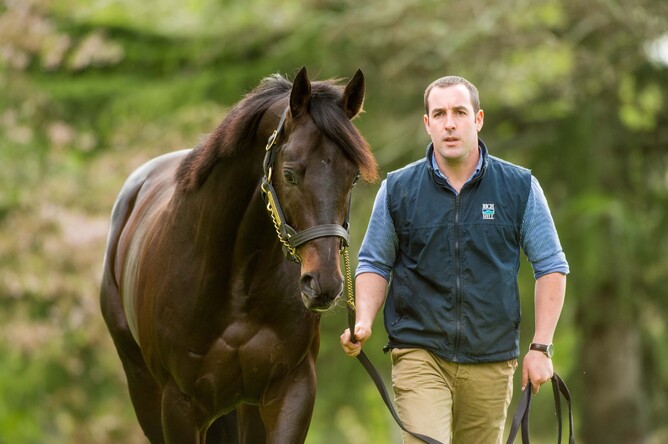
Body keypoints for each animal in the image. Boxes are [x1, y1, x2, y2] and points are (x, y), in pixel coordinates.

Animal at [100, 66, 378, 443]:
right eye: (289, 174)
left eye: (352, 179)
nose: (323, 284)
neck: (237, 281)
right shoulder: (179, 407)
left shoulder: (291, 391)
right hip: (145, 391)